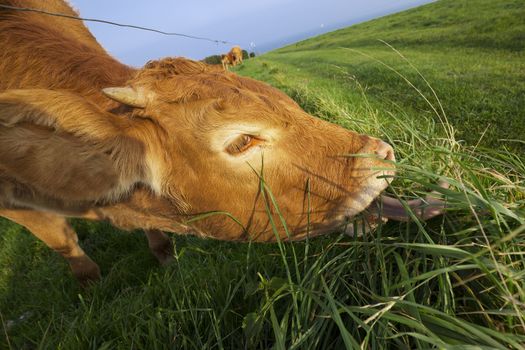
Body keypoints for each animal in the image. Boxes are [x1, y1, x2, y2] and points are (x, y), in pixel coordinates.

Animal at [0, 0, 444, 284]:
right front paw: (91, 284)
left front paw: (165, 256)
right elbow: (66, 243)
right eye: (241, 141)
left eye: (286, 101)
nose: (383, 156)